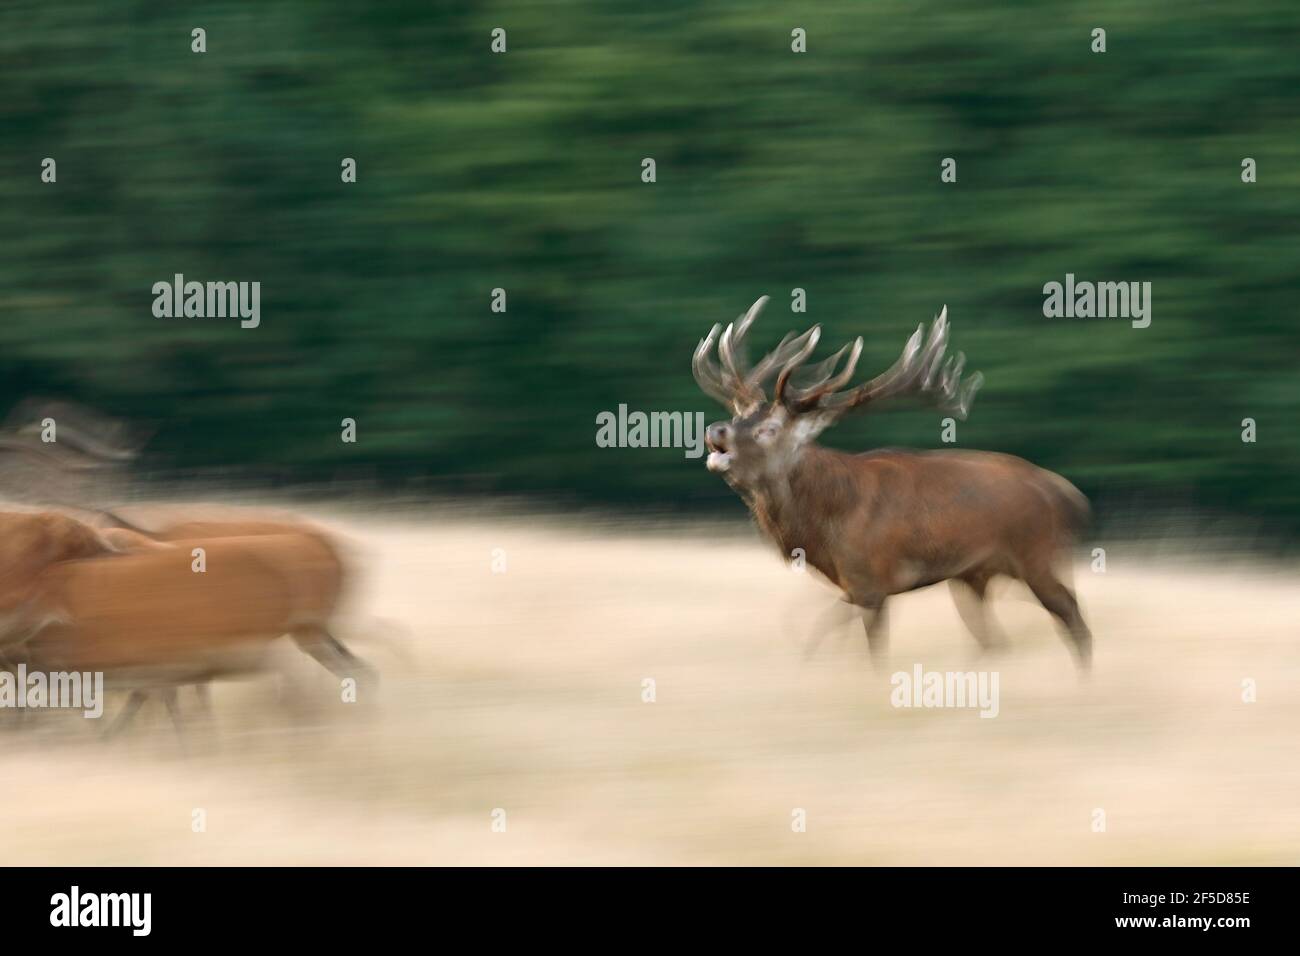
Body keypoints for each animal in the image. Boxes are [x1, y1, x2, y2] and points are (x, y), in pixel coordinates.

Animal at [692, 297, 1093, 668]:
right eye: (737, 415)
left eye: (769, 429)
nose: (716, 430)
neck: (824, 529)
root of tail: (1068, 494)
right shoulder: (852, 587)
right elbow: (819, 634)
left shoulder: (871, 581)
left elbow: (872, 653)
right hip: (973, 574)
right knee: (995, 641)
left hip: (1037, 553)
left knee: (1072, 617)